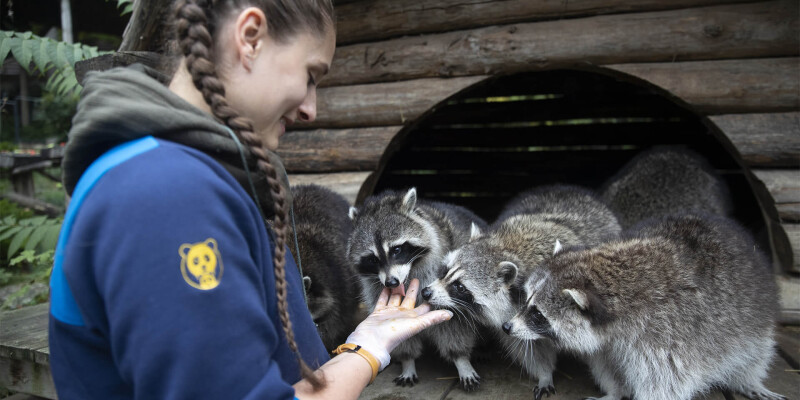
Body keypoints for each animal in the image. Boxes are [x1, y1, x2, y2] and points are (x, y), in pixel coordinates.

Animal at [348, 188, 490, 390]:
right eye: (373, 259)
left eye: (397, 250)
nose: (391, 282)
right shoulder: (374, 288)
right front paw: (407, 362)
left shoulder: (445, 287)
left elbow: (454, 326)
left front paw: (461, 361)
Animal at [422, 184, 620, 400]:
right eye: (444, 271)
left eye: (460, 287)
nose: (426, 292)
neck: (506, 248)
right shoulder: (512, 320)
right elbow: (527, 349)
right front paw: (544, 373)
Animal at [504, 214, 784, 400]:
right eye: (525, 299)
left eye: (537, 315)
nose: (507, 327)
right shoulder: (608, 344)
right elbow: (608, 365)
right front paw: (615, 392)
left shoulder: (667, 337)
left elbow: (665, 384)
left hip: (754, 317)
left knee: (754, 353)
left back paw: (749, 380)